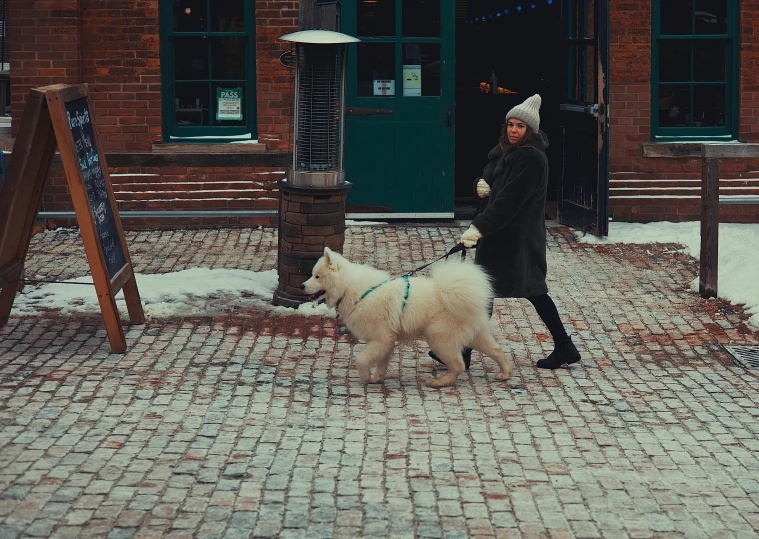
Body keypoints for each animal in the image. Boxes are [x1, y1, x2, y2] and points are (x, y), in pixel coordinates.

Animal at [304, 249, 516, 388]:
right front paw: (377, 378)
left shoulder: (381, 338)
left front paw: (365, 377)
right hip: (475, 335)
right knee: (497, 350)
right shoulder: (387, 340)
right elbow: (381, 362)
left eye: (317, 276)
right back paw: (505, 373)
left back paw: (438, 382)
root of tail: (450, 290)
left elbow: (362, 359)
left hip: (438, 338)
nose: (302, 286)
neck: (353, 290)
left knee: (458, 365)